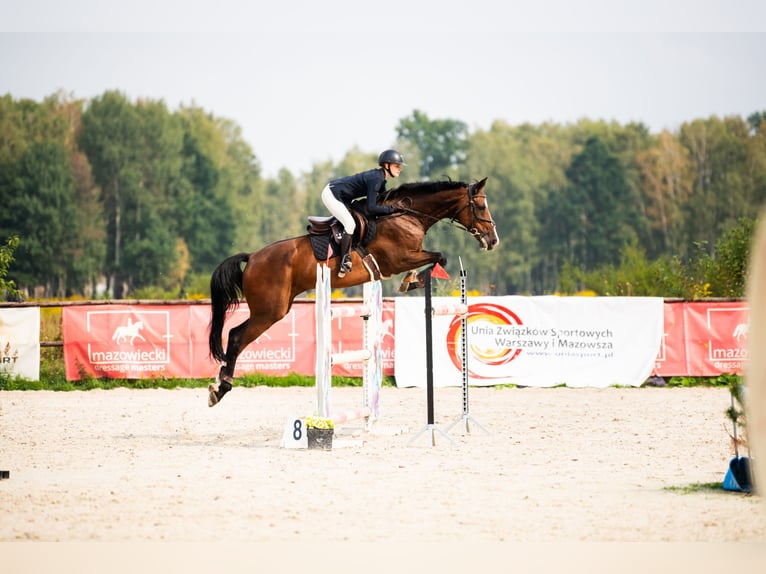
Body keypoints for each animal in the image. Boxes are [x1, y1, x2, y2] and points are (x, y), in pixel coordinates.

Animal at [207, 177, 499, 407]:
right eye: (480, 206)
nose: (493, 240)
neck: (407, 216)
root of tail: (253, 257)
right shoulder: (399, 259)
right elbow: (440, 256)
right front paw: (411, 281)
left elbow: (439, 257)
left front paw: (412, 280)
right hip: (269, 311)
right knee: (236, 337)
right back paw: (220, 389)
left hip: (278, 307)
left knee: (235, 335)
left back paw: (220, 385)